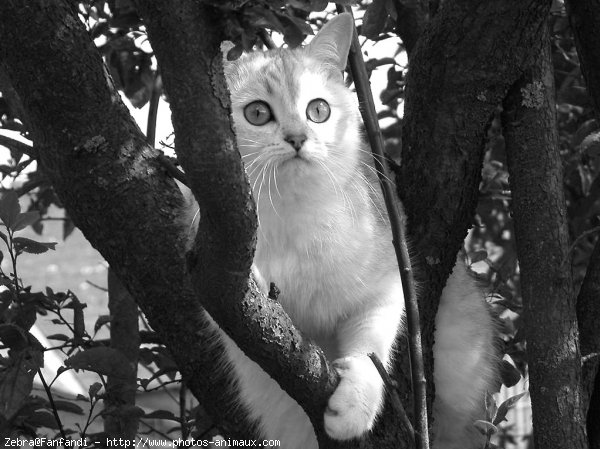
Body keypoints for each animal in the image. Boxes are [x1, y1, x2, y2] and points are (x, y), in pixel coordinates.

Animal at [186, 12, 496, 448]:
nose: (298, 138)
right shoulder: (207, 276)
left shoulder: (387, 283)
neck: (295, 213)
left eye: (318, 110)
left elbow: (370, 345)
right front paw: (259, 278)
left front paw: (355, 405)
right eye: (258, 114)